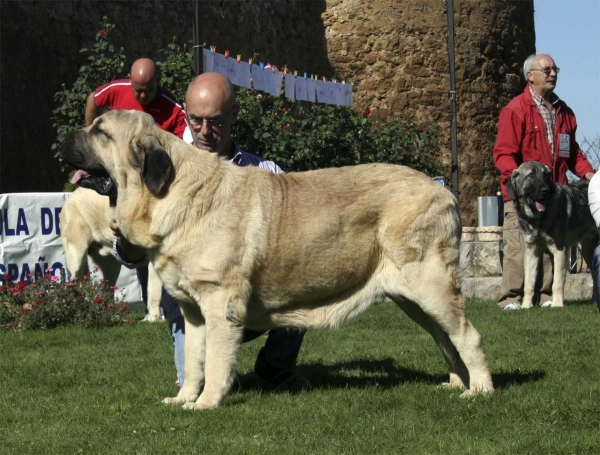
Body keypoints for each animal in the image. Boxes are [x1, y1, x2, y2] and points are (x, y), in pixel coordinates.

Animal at [58, 112, 494, 412]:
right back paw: (456, 384)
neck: (170, 192)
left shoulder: (219, 304)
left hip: (431, 284)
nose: (61, 136)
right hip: (413, 300)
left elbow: (216, 361)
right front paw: (183, 399)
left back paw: (481, 391)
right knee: (445, 338)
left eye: (100, 131)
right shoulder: (193, 312)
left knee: (467, 336)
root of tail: (445, 191)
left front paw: (206, 404)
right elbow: (194, 361)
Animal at [506, 161, 600, 310]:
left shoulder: (560, 250)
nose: (545, 191)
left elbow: (557, 282)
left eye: (546, 176)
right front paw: (526, 306)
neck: (537, 219)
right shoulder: (531, 251)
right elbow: (529, 283)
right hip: (587, 249)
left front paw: (557, 305)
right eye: (531, 175)